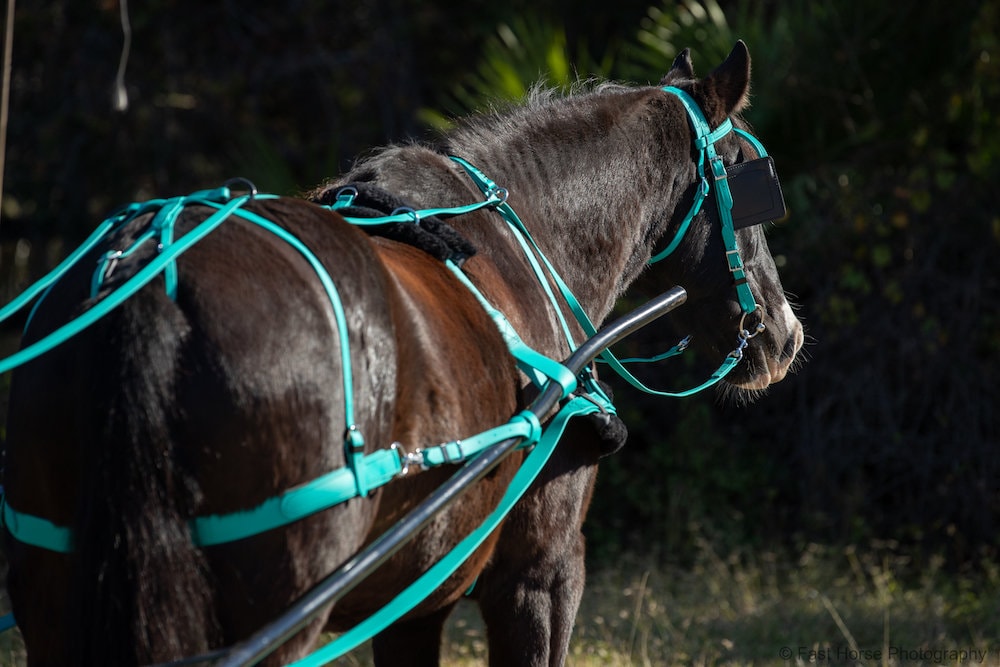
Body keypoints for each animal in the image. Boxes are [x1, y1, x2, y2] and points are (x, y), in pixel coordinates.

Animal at [0, 43, 804, 667]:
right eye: (750, 173)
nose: (786, 334)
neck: (523, 241)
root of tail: (153, 277)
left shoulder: (416, 594)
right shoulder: (542, 572)